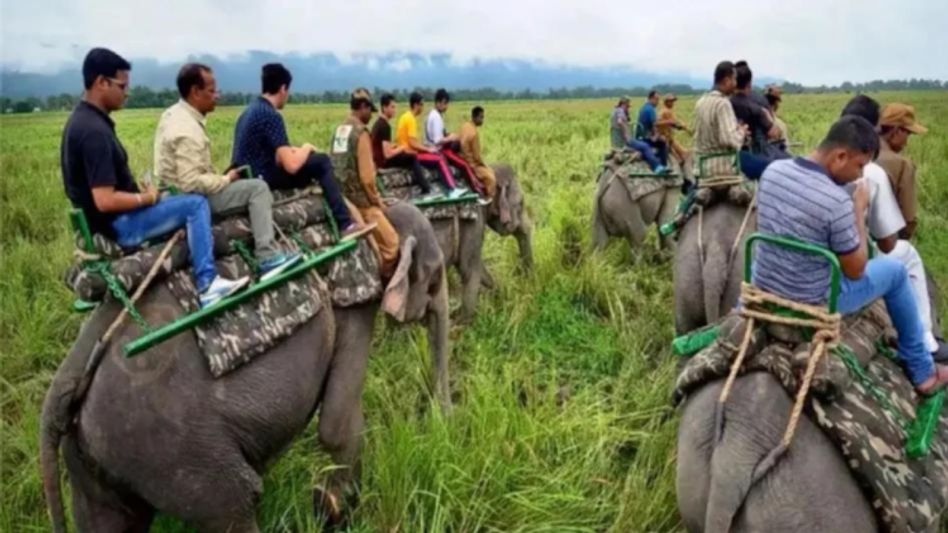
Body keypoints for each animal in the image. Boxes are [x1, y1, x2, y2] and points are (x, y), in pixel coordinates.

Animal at [40, 201, 449, 532]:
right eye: (435, 276)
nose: (443, 418)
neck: (372, 217)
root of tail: (67, 379)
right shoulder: (355, 299)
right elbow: (336, 426)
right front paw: (333, 512)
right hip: (176, 455)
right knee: (234, 505)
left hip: (95, 457)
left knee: (107, 520)